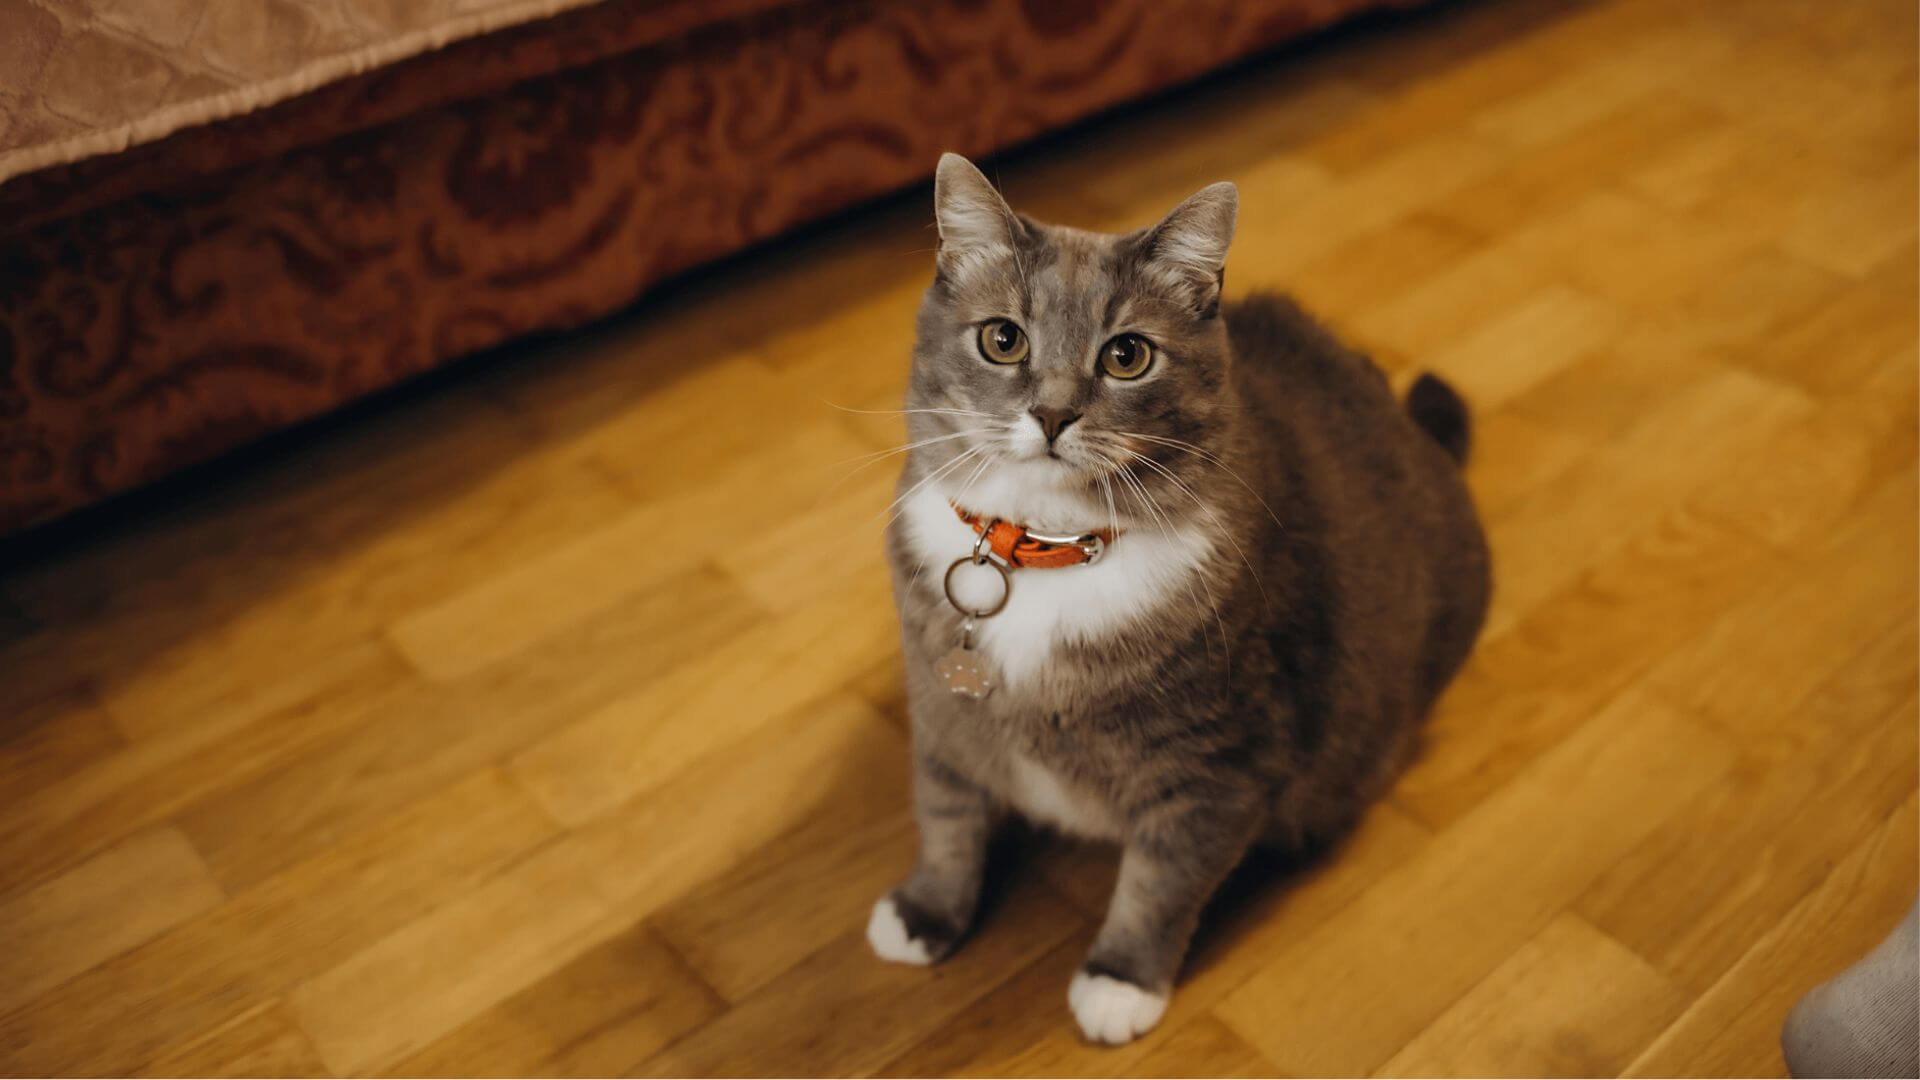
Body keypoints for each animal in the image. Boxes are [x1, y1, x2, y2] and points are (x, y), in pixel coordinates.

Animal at [864, 153, 1489, 1045]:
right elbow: (946, 811)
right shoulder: (944, 711)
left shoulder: (1218, 765)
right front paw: (926, 911)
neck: (1050, 552)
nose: (1052, 412)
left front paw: (1120, 982)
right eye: (1001, 339)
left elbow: (1160, 885)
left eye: (1128, 355)